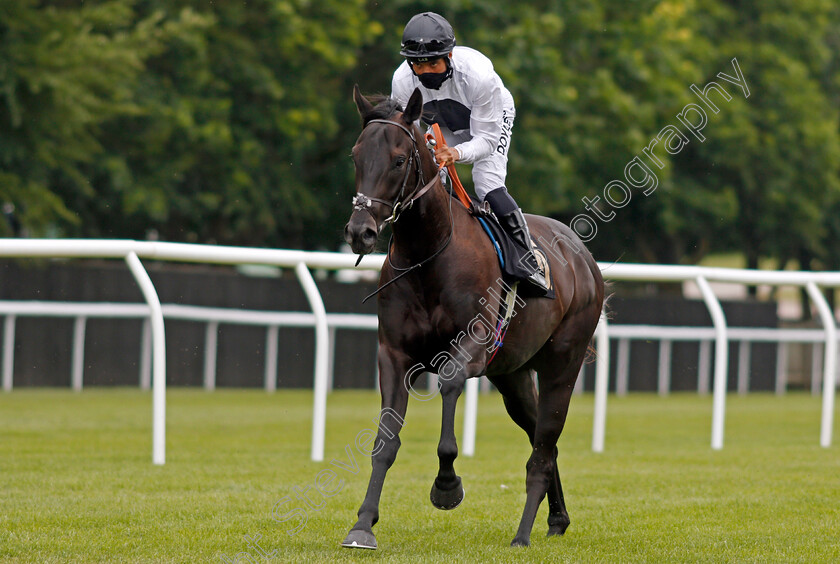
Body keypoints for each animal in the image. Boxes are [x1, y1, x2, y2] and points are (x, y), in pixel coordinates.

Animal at [342, 86, 604, 548]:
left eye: (398, 159)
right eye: (356, 156)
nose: (361, 231)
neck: (429, 255)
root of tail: (582, 256)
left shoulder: (473, 345)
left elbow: (448, 394)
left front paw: (447, 486)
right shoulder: (393, 353)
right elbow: (385, 439)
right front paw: (362, 525)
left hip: (563, 364)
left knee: (544, 446)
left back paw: (522, 535)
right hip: (513, 375)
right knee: (541, 440)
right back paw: (557, 518)